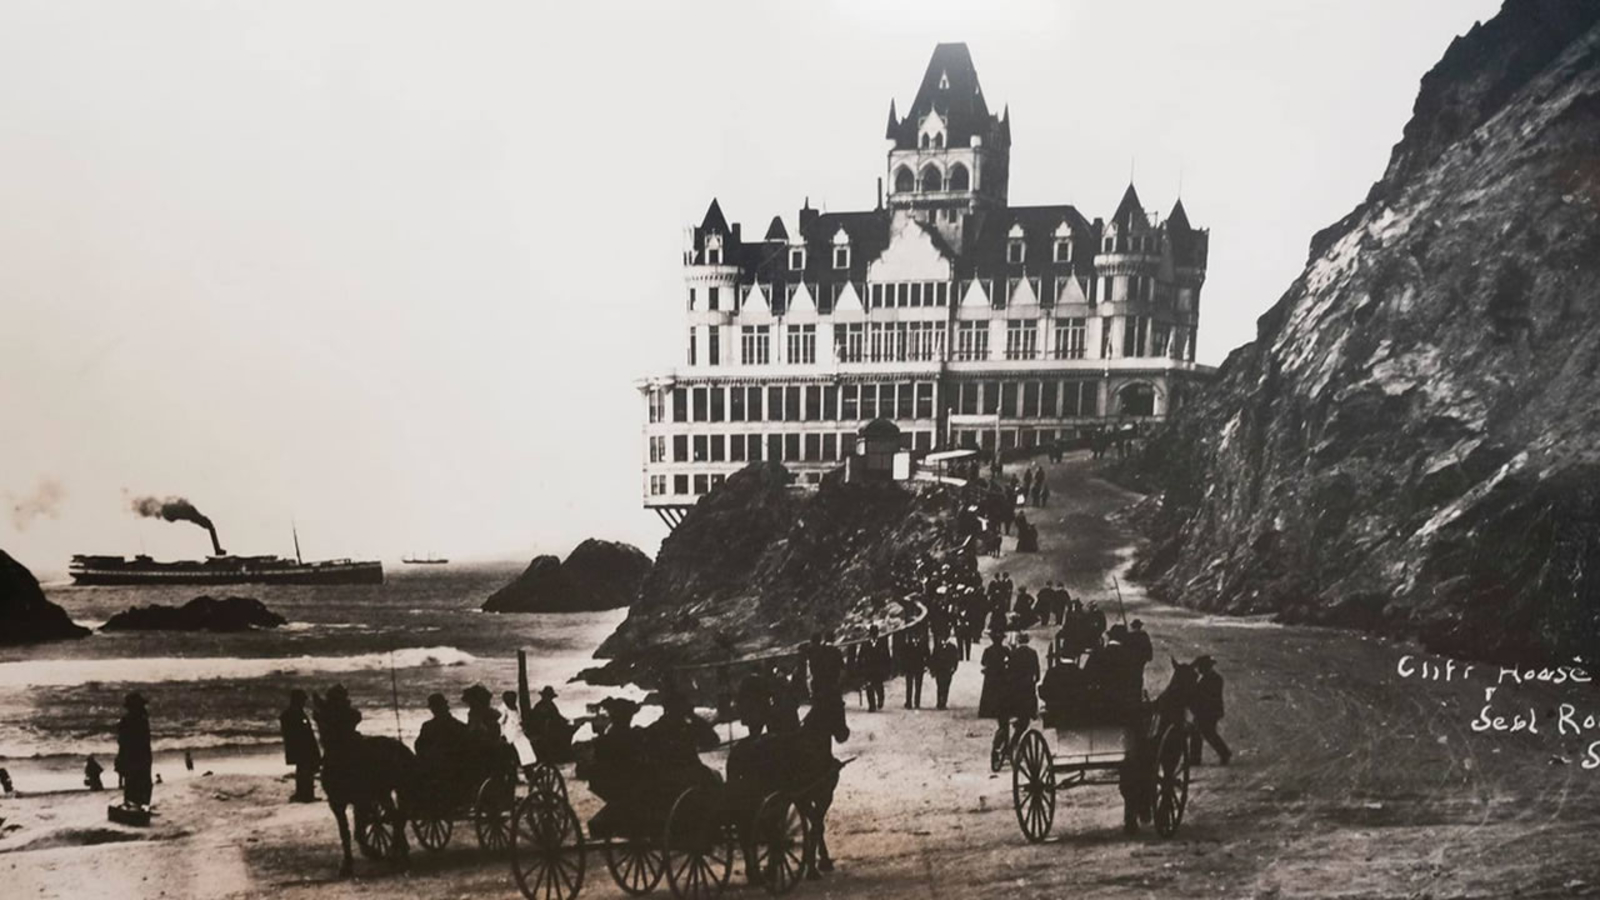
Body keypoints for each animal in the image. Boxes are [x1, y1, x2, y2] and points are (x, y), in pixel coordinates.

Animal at [312, 685, 419, 877]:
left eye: (345, 703)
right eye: (325, 712)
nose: (357, 714)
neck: (342, 757)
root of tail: (400, 745)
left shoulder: (361, 799)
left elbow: (359, 831)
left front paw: (372, 852)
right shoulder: (336, 803)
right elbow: (345, 833)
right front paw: (347, 865)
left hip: (397, 789)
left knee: (398, 817)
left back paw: (395, 852)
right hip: (383, 792)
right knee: (395, 816)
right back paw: (400, 849)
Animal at [726, 685, 851, 877]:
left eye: (841, 703)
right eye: (832, 706)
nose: (844, 733)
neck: (812, 749)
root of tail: (737, 751)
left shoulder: (821, 796)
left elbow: (817, 825)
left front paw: (821, 861)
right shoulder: (806, 797)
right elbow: (815, 825)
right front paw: (813, 867)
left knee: (748, 829)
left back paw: (759, 870)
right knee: (748, 830)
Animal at [1120, 656, 1196, 832]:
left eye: (1194, 676)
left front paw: (1162, 816)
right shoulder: (1168, 755)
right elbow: (1165, 782)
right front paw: (1164, 817)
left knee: (1131, 784)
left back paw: (1134, 820)